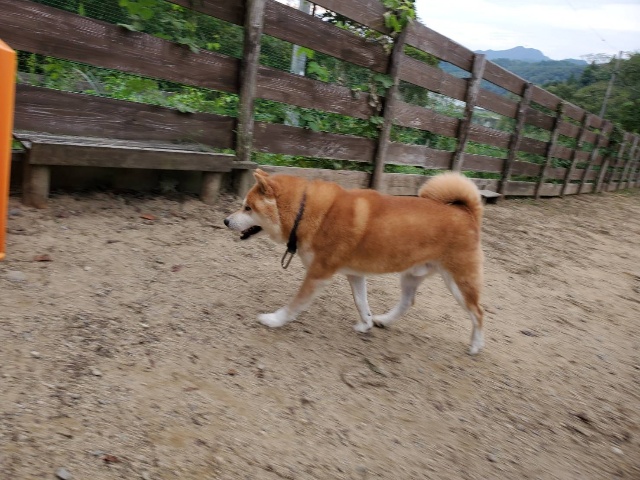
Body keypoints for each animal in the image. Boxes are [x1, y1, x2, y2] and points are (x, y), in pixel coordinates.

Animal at [224, 169, 485, 355]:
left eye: (247, 208)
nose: (226, 220)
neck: (304, 211)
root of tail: (467, 214)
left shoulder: (317, 274)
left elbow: (294, 305)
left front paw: (274, 320)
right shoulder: (355, 274)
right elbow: (362, 304)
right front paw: (366, 324)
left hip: (459, 283)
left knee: (478, 313)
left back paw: (475, 346)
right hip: (411, 275)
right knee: (407, 302)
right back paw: (383, 320)